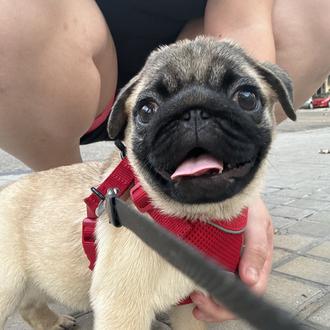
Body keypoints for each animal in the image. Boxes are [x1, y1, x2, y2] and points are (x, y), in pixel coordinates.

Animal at [0, 36, 296, 330]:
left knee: (31, 305)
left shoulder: (189, 306)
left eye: (246, 97)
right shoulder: (123, 308)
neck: (196, 221)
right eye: (146, 110)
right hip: (8, 285)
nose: (194, 109)